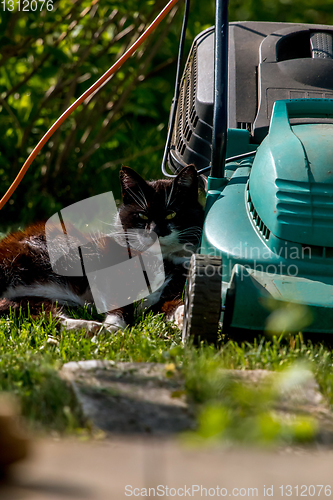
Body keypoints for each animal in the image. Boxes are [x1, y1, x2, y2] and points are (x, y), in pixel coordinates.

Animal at [0, 165, 204, 336]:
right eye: (142, 215)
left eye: (171, 214)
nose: (155, 231)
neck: (160, 260)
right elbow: (118, 301)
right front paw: (113, 327)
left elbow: (169, 304)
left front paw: (184, 315)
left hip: (30, 300)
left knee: (42, 314)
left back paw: (87, 327)